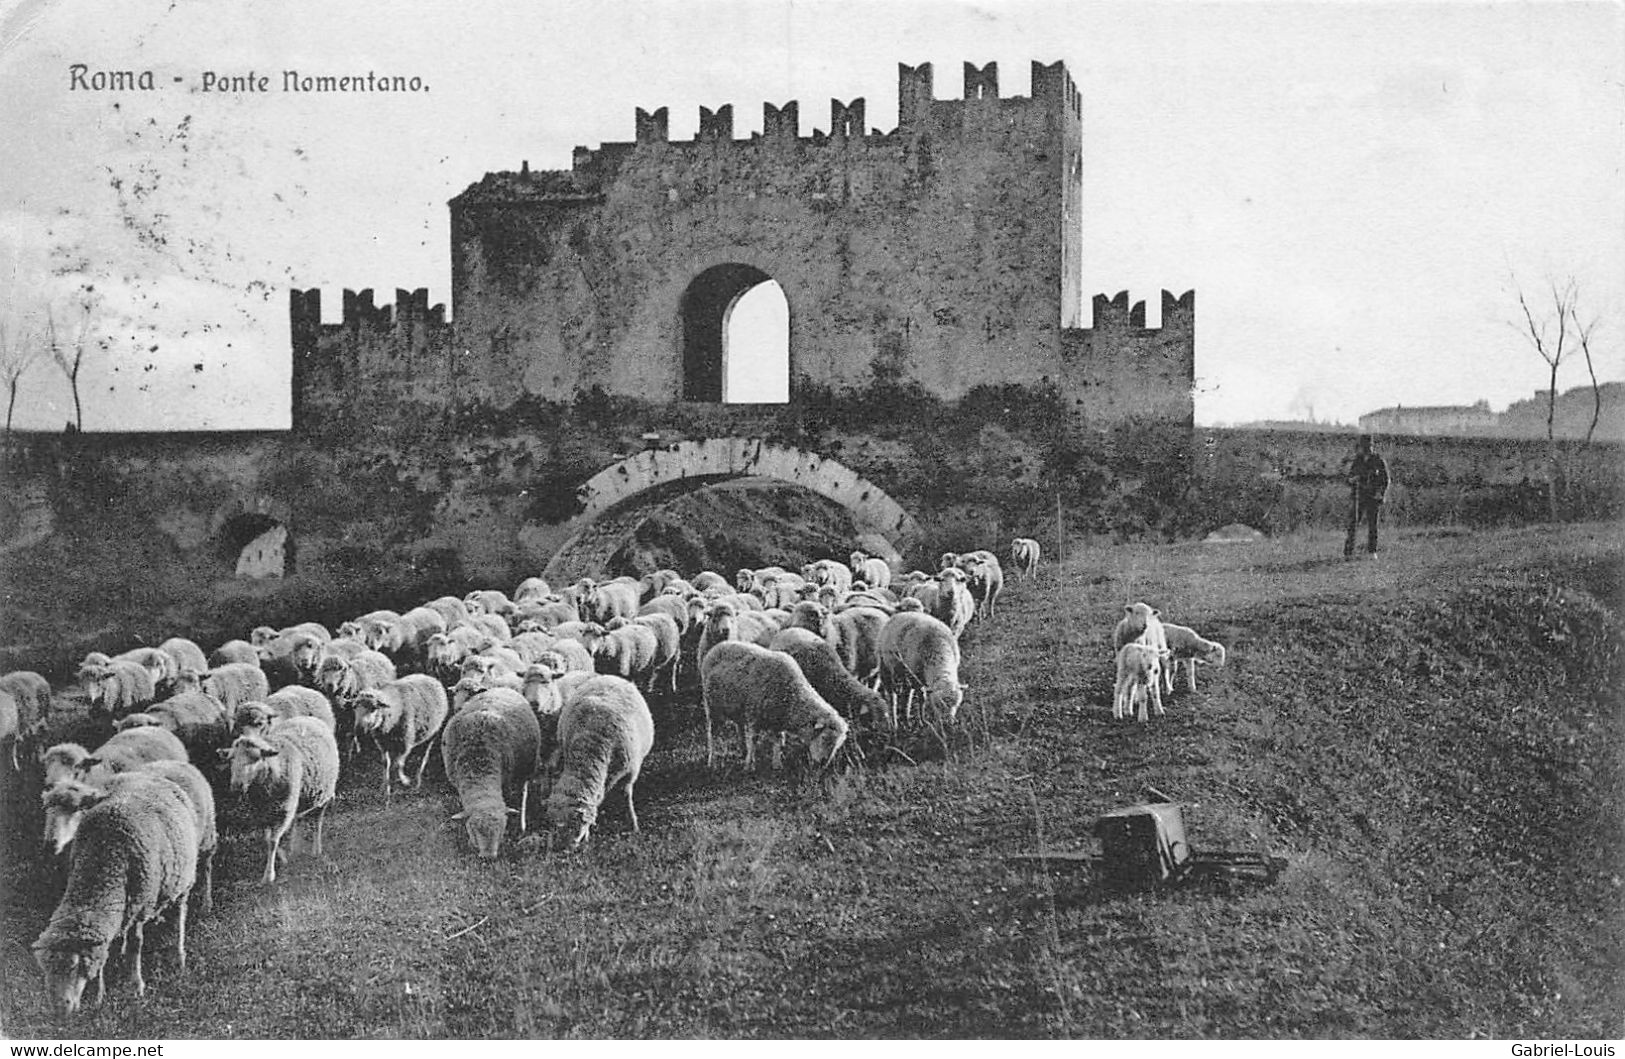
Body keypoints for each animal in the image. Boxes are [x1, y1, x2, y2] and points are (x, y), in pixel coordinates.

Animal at [222, 714, 339, 883]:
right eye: (232, 759)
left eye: (255, 758)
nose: (236, 787)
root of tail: (307, 718)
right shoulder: (263, 811)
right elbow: (267, 839)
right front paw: (283, 857)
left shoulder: (283, 809)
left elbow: (272, 841)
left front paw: (268, 876)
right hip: (299, 796)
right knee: (297, 818)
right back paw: (293, 848)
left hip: (323, 794)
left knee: (318, 820)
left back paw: (316, 849)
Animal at [542, 675, 650, 851]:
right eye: (551, 824)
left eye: (573, 825)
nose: (563, 850)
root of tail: (609, 677)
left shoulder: (629, 771)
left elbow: (626, 794)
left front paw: (633, 824)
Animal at [702, 636, 851, 769]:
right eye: (824, 738)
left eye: (837, 745)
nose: (823, 765)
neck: (792, 695)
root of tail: (718, 646)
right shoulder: (753, 716)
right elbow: (754, 740)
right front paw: (749, 765)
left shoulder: (777, 722)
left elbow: (777, 741)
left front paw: (777, 764)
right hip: (712, 707)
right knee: (712, 734)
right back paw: (712, 761)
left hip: (738, 710)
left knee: (740, 728)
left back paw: (743, 751)